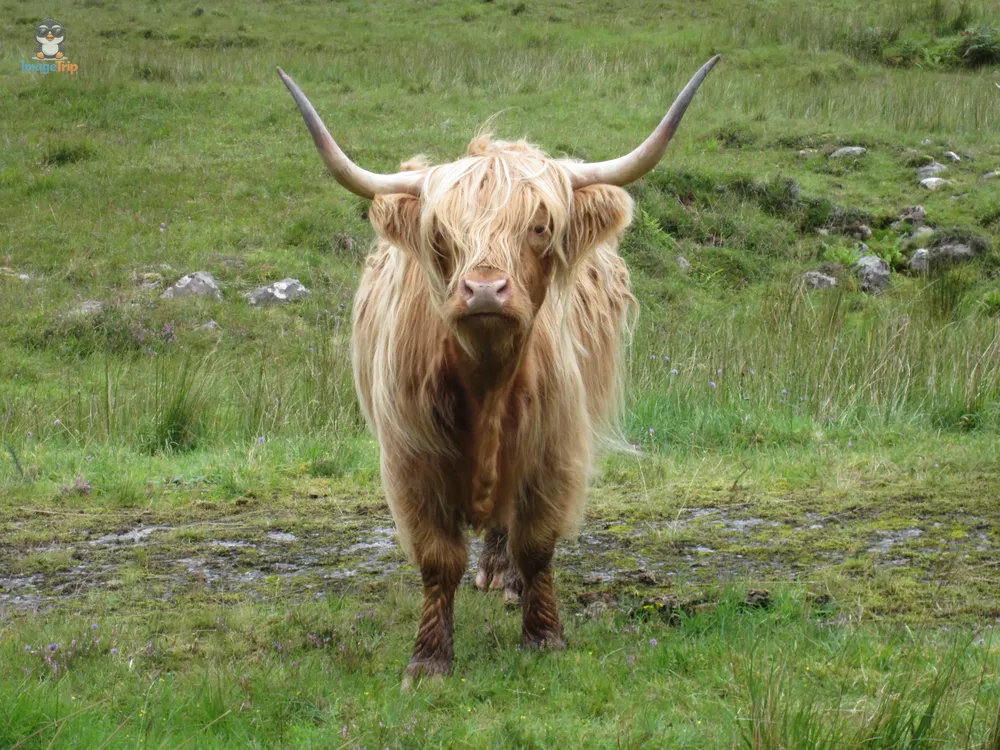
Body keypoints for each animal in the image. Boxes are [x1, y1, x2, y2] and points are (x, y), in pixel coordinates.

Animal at [278, 56, 719, 679]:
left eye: (539, 226)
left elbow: (537, 545)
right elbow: (438, 559)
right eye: (441, 234)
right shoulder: (411, 460)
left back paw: (504, 577)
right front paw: (429, 659)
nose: (485, 289)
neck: (485, 382)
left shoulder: (555, 450)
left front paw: (544, 635)